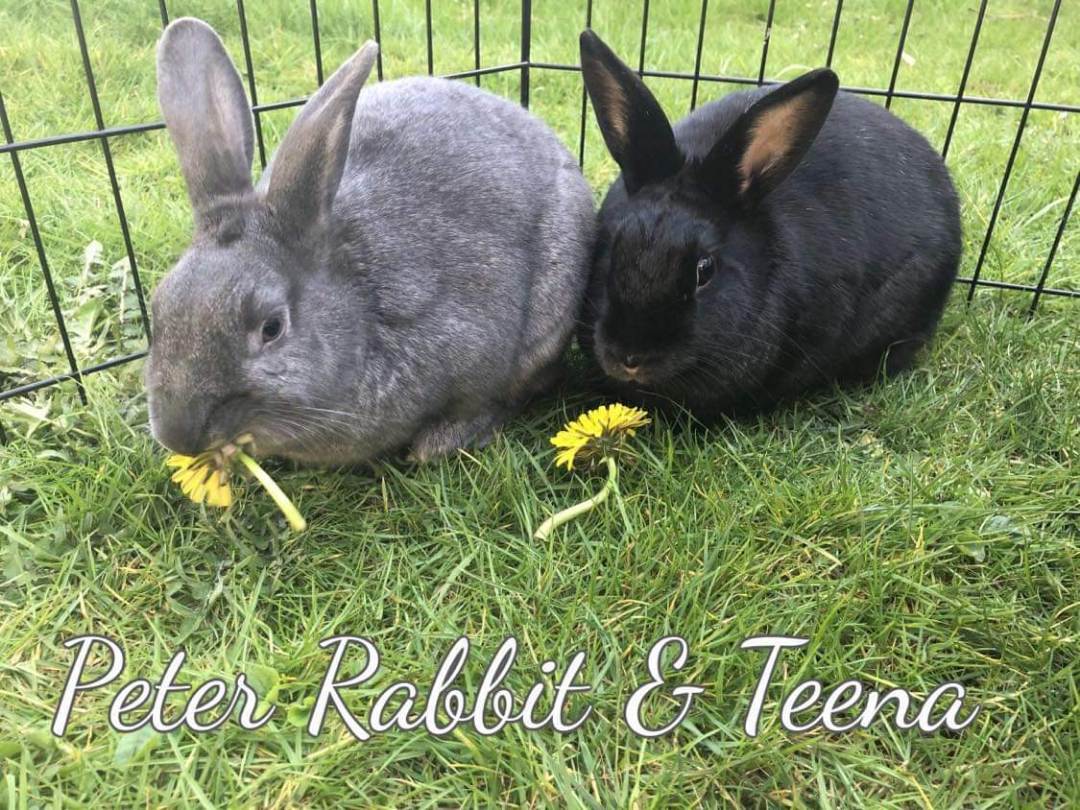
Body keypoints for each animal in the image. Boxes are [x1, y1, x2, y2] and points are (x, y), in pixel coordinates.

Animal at [144, 18, 595, 466]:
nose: (179, 435)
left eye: (271, 328)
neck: (361, 303)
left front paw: (436, 445)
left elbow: (483, 401)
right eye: (158, 308)